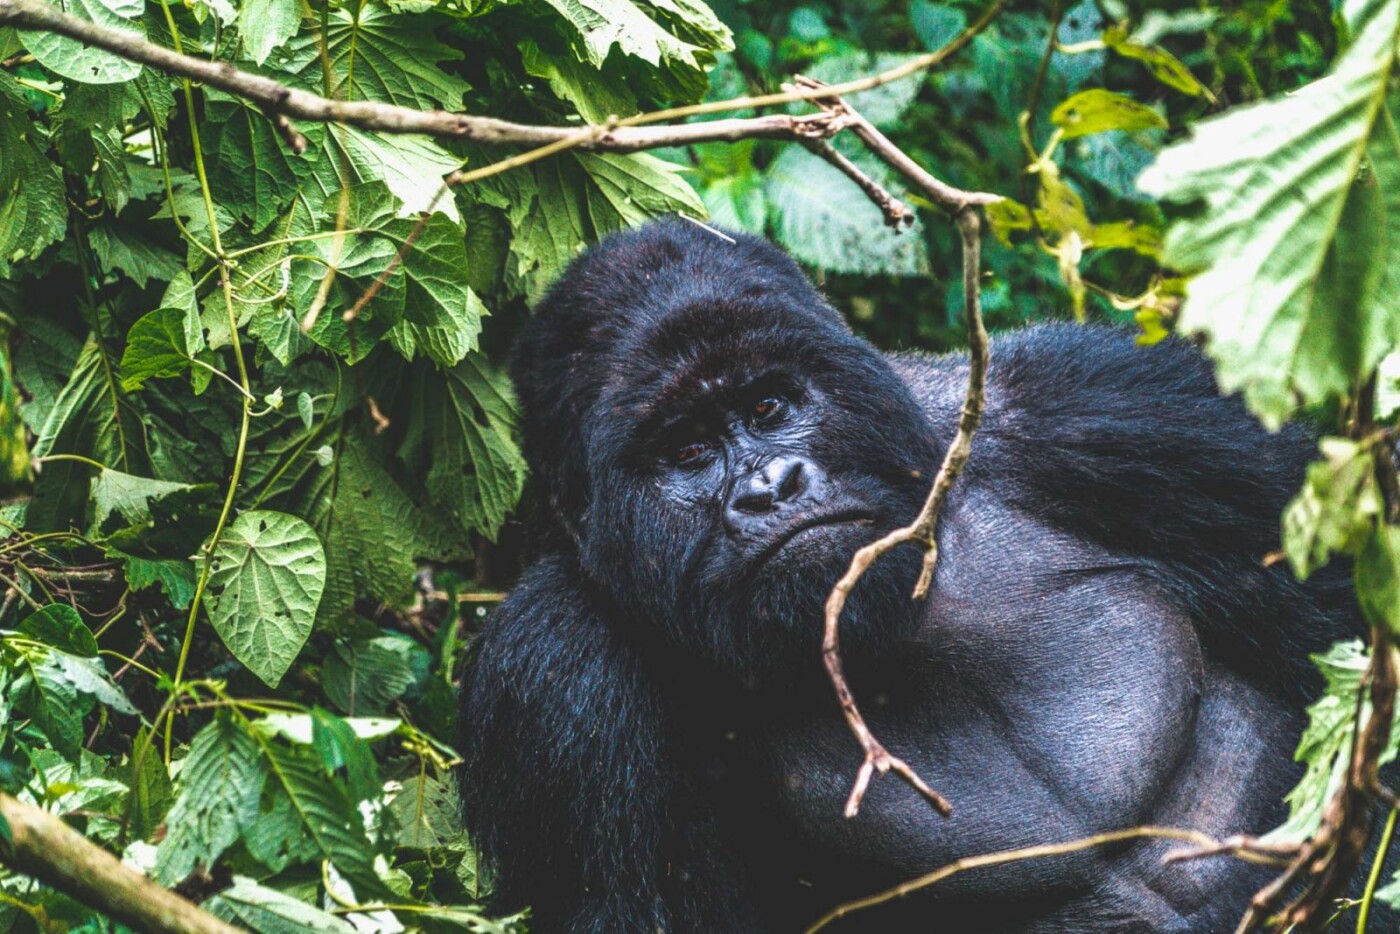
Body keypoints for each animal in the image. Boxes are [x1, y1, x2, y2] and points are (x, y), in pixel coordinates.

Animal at [462, 221, 1366, 934]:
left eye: (769, 407)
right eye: (686, 451)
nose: (770, 488)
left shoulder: (1094, 404)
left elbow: (1342, 620)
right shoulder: (557, 671)